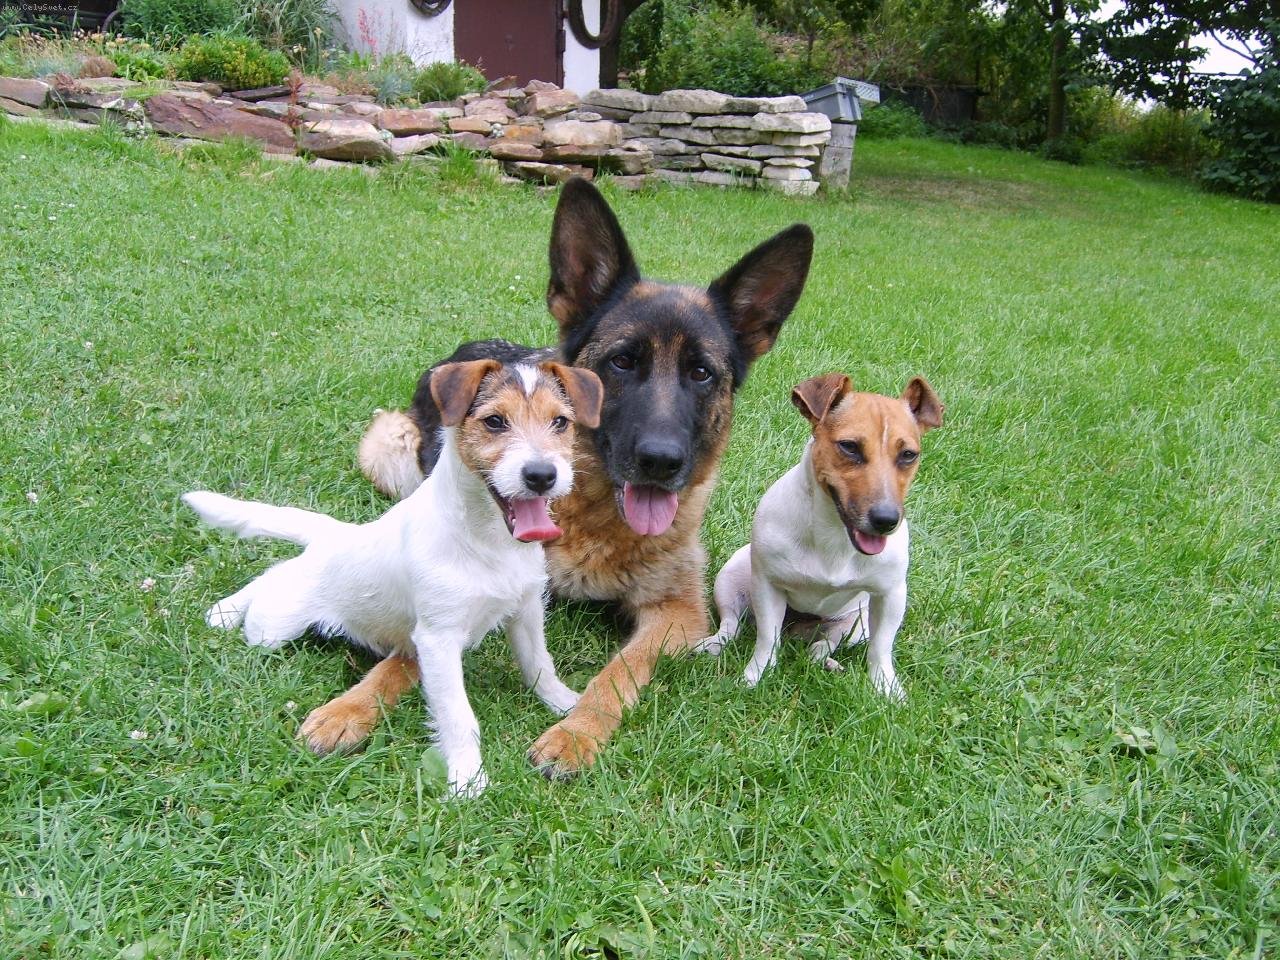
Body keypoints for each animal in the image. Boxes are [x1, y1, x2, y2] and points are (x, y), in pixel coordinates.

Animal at [296, 179, 808, 783]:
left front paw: (575, 732)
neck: (595, 518)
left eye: (701, 373)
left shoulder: (678, 613)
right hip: (389, 448)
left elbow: (618, 669)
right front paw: (350, 706)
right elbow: (410, 649)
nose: (661, 461)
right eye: (622, 362)